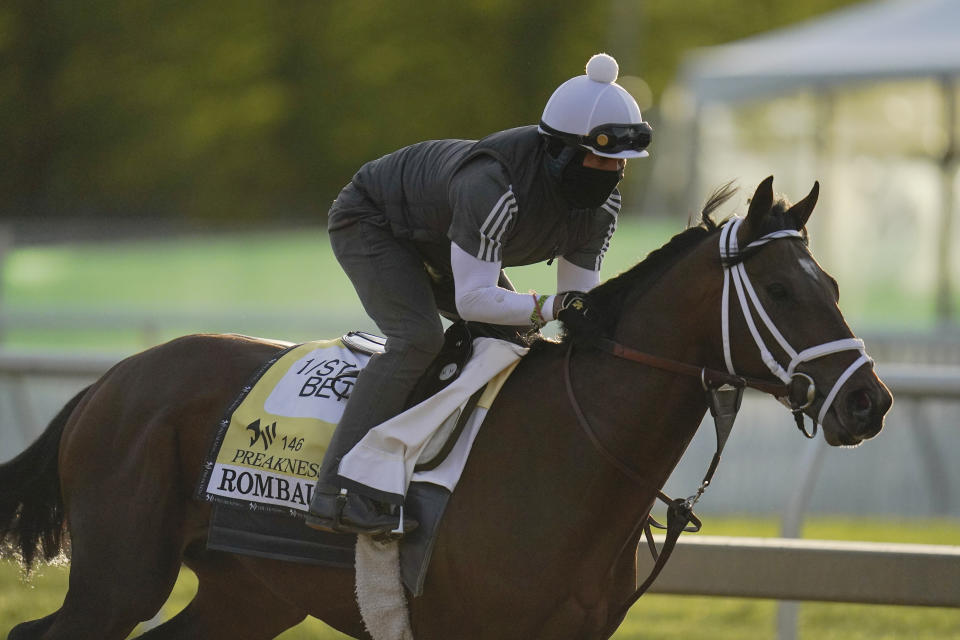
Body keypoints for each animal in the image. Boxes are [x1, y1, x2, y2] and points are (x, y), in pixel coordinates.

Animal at [3, 178, 892, 640]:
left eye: (831, 284)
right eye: (780, 289)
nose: (870, 402)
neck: (572, 455)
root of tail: (109, 382)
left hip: (249, 592)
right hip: (120, 576)